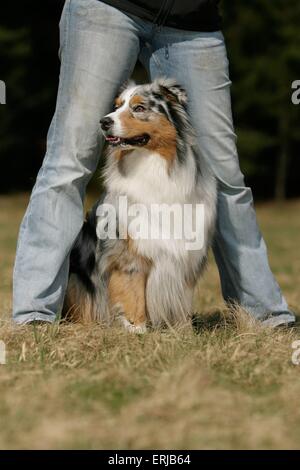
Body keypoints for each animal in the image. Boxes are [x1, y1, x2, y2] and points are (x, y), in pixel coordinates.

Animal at [63, 78, 217, 334]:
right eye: (116, 106)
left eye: (139, 108)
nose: (104, 121)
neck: (151, 163)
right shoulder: (129, 256)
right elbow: (133, 295)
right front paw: (137, 330)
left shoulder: (187, 255)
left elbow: (182, 301)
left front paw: (184, 334)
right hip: (77, 278)